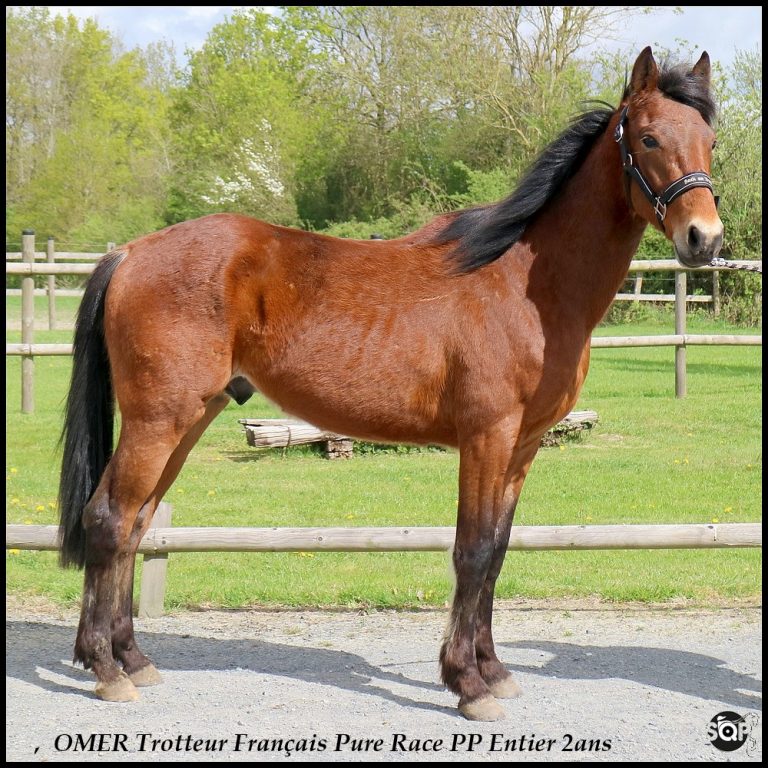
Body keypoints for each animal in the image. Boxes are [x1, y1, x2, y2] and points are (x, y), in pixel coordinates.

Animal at [58, 47, 722, 720]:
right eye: (648, 138)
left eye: (710, 141)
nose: (704, 238)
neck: (526, 287)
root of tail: (132, 252)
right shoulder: (486, 437)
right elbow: (472, 551)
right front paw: (467, 684)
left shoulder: (523, 445)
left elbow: (498, 550)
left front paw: (493, 670)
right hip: (157, 421)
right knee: (109, 519)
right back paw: (107, 670)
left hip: (187, 420)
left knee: (137, 523)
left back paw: (132, 659)